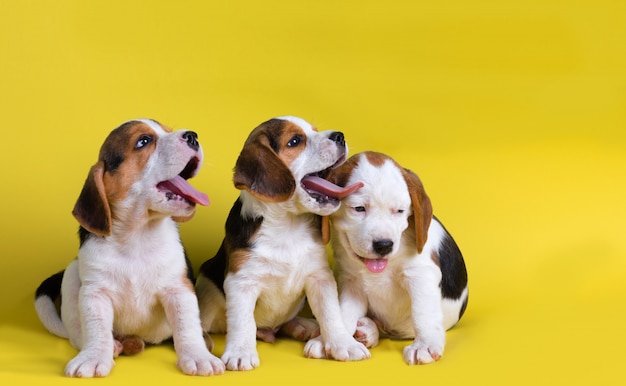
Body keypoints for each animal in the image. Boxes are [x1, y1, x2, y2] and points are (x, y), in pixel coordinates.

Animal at [33, 118, 224, 376]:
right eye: (143, 141)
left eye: (168, 130)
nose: (193, 136)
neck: (138, 235)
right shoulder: (95, 293)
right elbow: (96, 329)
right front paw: (94, 357)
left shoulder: (178, 289)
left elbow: (187, 326)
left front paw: (198, 355)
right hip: (72, 274)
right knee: (77, 333)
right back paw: (116, 345)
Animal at [195, 115, 368, 370]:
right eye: (295, 141)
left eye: (314, 130)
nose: (340, 136)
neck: (287, 226)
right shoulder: (241, 281)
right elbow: (243, 322)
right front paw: (240, 353)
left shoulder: (320, 278)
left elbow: (331, 313)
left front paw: (343, 343)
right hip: (206, 286)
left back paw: (303, 325)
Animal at [304, 151, 466, 364]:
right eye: (359, 208)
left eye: (400, 211)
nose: (384, 245)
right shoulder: (352, 282)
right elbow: (343, 311)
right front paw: (330, 340)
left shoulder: (420, 275)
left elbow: (423, 313)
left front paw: (424, 345)